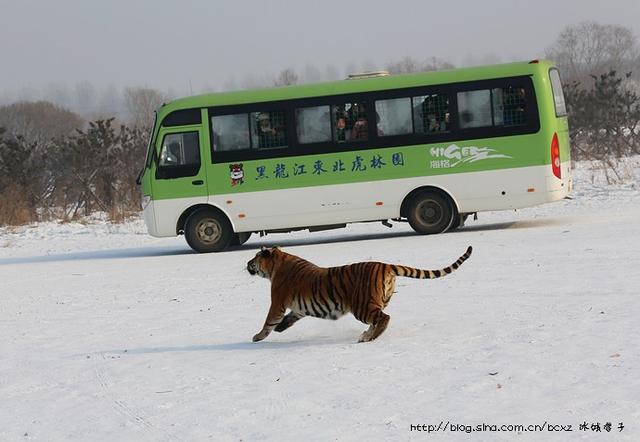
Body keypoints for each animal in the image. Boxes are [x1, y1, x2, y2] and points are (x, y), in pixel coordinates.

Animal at [248, 247, 472, 344]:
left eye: (254, 258)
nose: (247, 263)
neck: (277, 263)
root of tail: (385, 265)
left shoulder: (277, 302)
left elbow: (269, 321)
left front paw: (257, 336)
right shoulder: (298, 308)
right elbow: (289, 318)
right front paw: (280, 328)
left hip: (361, 306)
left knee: (384, 318)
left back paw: (368, 337)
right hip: (377, 301)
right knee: (379, 318)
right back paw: (367, 334)